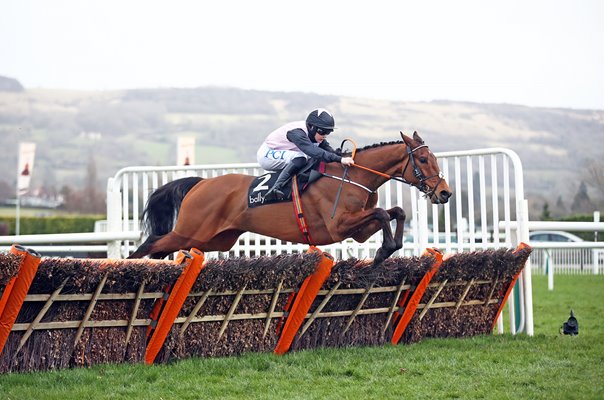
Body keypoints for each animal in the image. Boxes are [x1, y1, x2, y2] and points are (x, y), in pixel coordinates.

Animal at [130, 131, 450, 266]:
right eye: (423, 159)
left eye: (433, 158)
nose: (444, 192)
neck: (353, 176)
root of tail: (201, 183)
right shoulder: (338, 225)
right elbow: (384, 213)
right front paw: (385, 251)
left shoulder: (358, 230)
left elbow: (396, 212)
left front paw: (388, 249)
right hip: (191, 231)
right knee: (150, 243)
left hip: (214, 239)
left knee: (161, 248)